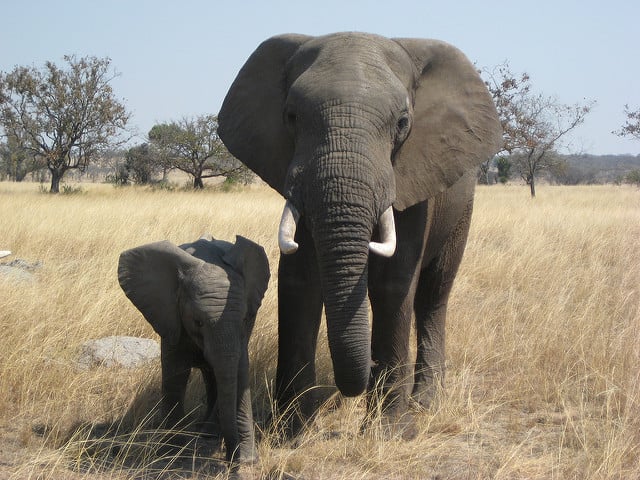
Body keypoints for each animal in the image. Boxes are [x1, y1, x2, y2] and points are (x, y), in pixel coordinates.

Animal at [117, 234, 270, 464]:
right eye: (198, 322)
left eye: (244, 319)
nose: (230, 458)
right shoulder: (170, 318)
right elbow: (175, 375)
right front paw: (171, 455)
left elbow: (241, 372)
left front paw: (247, 459)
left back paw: (208, 432)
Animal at [218, 32, 501, 435]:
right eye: (291, 117)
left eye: (402, 122)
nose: (367, 368)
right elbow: (301, 283)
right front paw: (290, 429)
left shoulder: (412, 176)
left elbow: (393, 284)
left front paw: (390, 433)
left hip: (463, 206)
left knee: (434, 292)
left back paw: (426, 402)